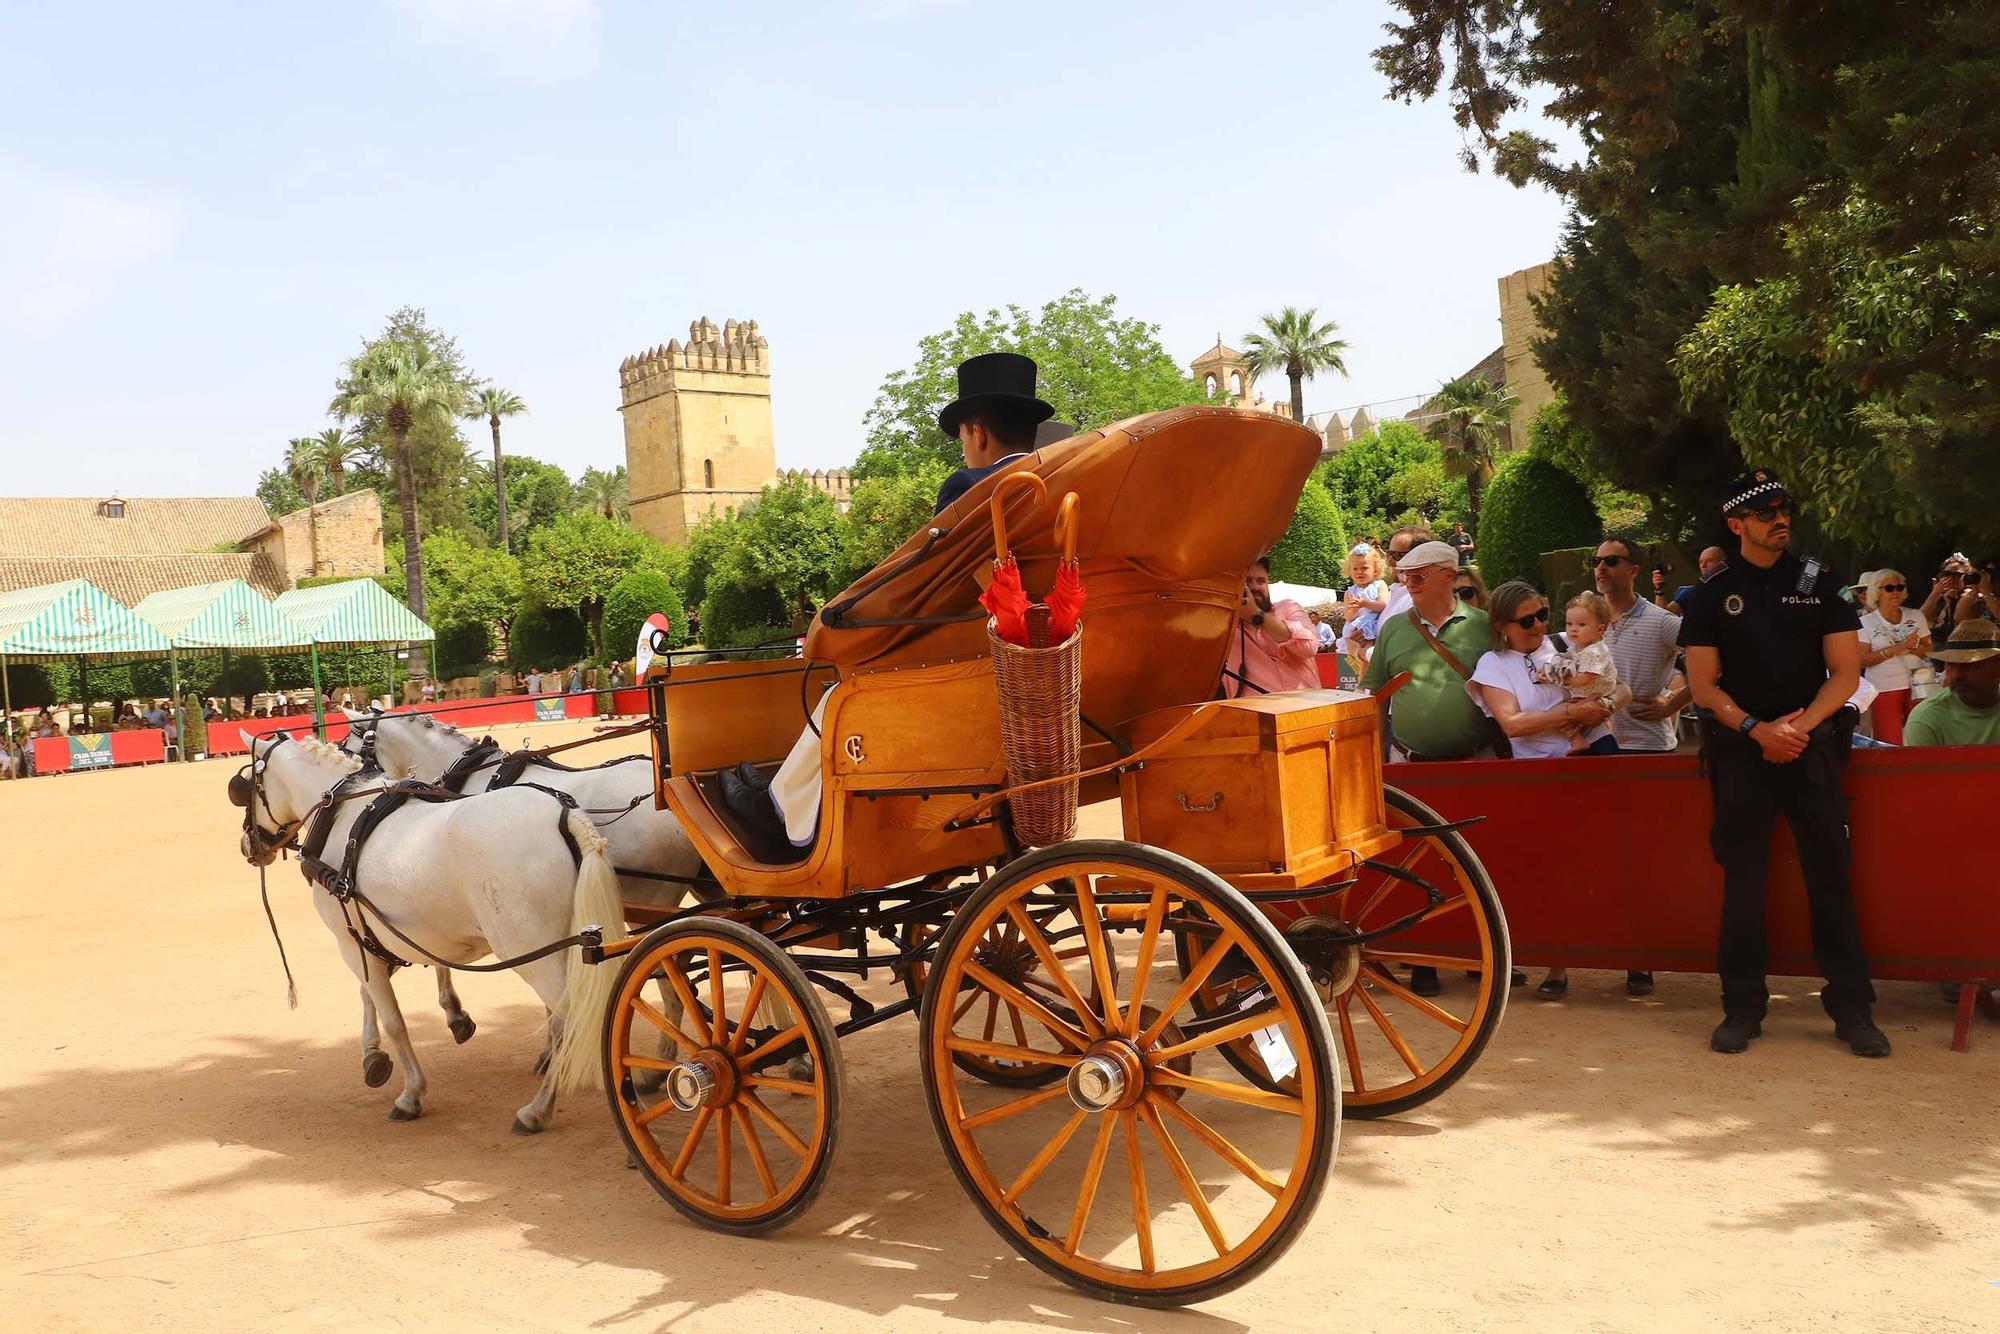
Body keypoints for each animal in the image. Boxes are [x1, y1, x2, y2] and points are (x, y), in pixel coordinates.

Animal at [243, 736, 632, 1136]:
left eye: (246, 788)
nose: (248, 845)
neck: (345, 816)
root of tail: (565, 816)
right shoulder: (375, 940)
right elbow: (370, 994)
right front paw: (374, 1055)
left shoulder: (350, 944)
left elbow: (394, 1019)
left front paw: (410, 1093)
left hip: (530, 949)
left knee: (570, 1018)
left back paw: (538, 1110)